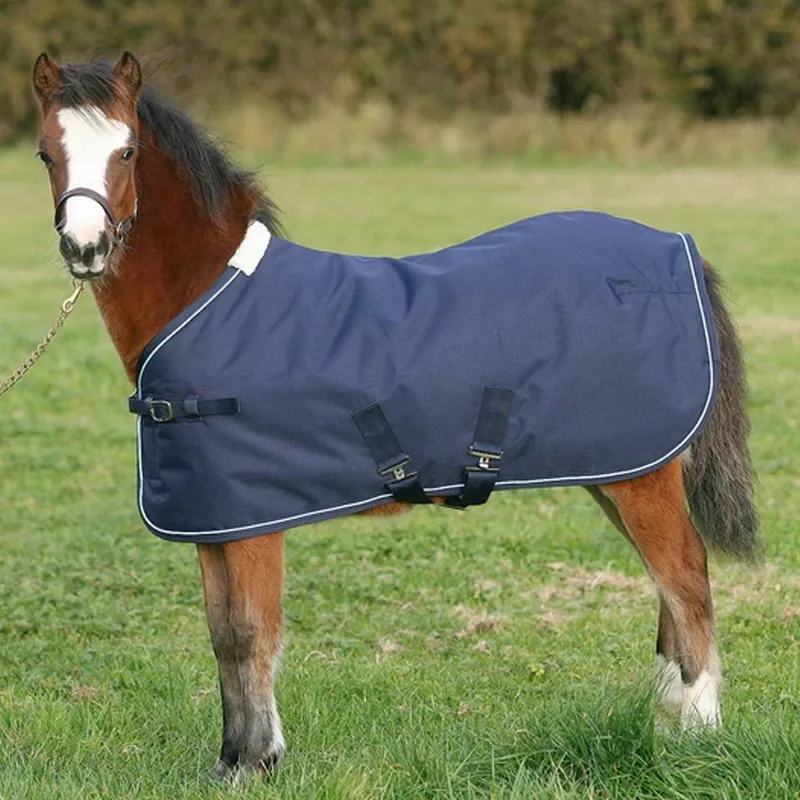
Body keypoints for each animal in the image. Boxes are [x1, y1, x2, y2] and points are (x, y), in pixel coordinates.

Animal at [31, 51, 758, 777]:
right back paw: (667, 720)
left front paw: (259, 761)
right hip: (617, 469)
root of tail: (679, 251)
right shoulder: (212, 519)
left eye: (127, 150)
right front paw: (232, 760)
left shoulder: (253, 522)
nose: (85, 249)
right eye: (45, 153)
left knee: (686, 580)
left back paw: (697, 733)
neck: (212, 299)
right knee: (667, 588)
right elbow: (221, 637)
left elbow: (250, 632)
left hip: (641, 478)